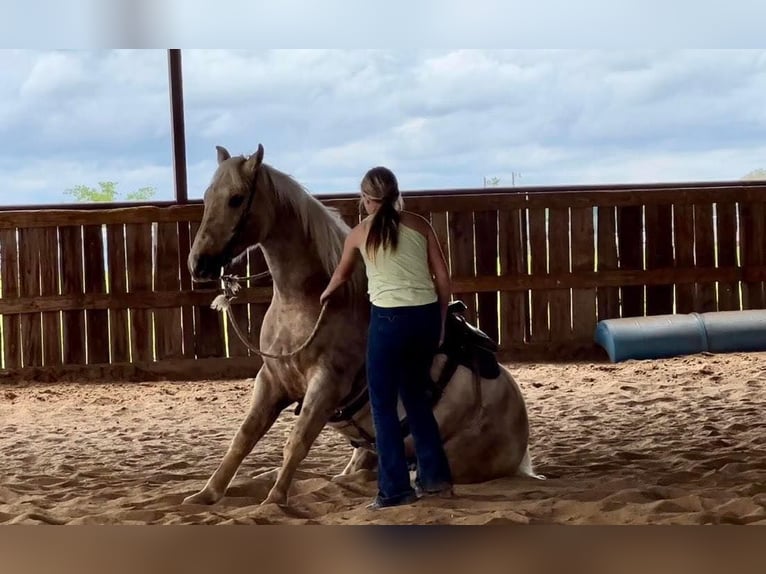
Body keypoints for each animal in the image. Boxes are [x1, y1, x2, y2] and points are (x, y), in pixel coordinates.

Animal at [184, 145, 544, 508]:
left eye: (236, 198)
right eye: (207, 196)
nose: (198, 264)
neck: (310, 301)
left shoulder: (326, 385)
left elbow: (296, 441)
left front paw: (274, 500)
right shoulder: (271, 381)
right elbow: (243, 438)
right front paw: (207, 493)